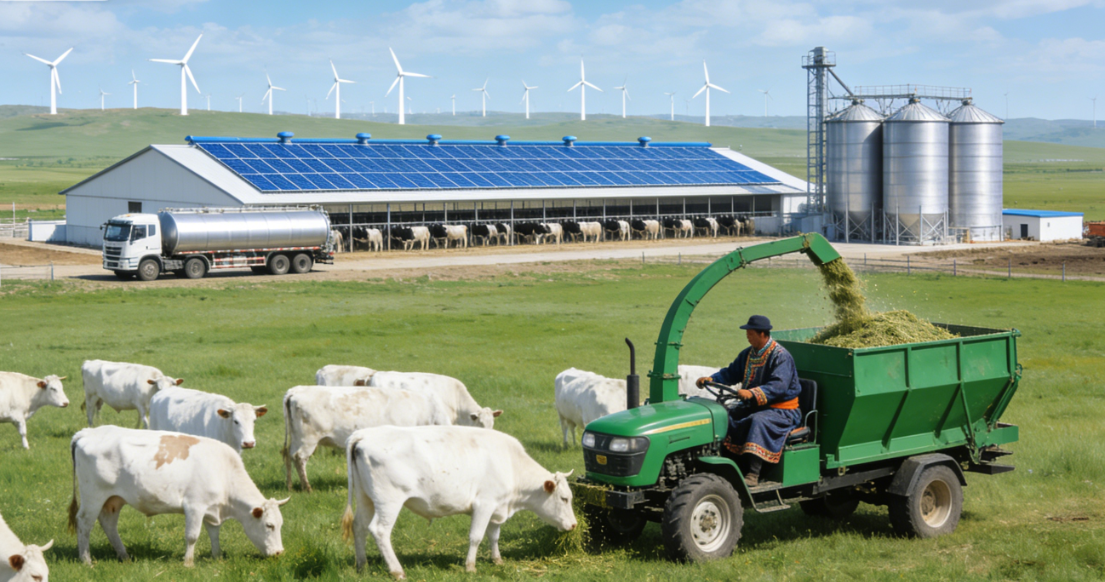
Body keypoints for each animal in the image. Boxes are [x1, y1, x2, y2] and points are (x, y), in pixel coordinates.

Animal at [69, 426, 288, 567]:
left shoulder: (211, 509)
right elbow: (192, 536)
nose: (279, 552)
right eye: (269, 525)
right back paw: (86, 560)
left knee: (109, 524)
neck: (224, 470)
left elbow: (214, 533)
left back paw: (124, 556)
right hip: (93, 496)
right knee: (84, 523)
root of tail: (87, 432)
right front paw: (188, 563)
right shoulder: (194, 506)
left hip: (113, 500)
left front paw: (217, 556)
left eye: (280, 524)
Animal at [281, 385, 451, 492]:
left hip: (296, 438)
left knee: (289, 455)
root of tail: (296, 390)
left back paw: (290, 486)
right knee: (299, 458)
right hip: (307, 439)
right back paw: (307, 487)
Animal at [340, 426, 577, 578]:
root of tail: (364, 434)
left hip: (365, 497)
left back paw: (362, 565)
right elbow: (476, 537)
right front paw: (470, 567)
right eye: (564, 498)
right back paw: (397, 571)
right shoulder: (484, 504)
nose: (574, 525)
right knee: (379, 530)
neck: (511, 464)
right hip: (389, 501)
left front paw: (497, 560)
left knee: (359, 526)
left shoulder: (496, 508)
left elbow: (494, 536)